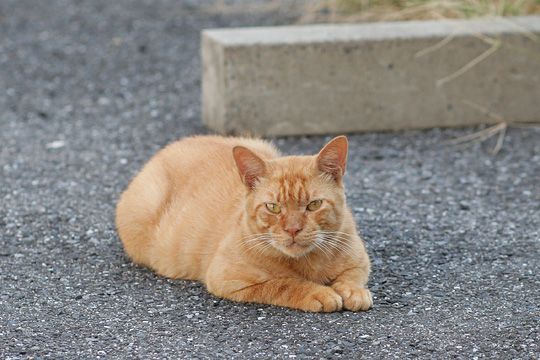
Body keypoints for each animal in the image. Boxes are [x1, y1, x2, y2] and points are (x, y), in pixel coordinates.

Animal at [115, 136, 372, 312]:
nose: (292, 229)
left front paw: (354, 291)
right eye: (273, 207)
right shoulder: (227, 278)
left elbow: (352, 275)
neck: (308, 263)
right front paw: (319, 293)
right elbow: (284, 284)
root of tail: (165, 149)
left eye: (313, 205)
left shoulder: (359, 260)